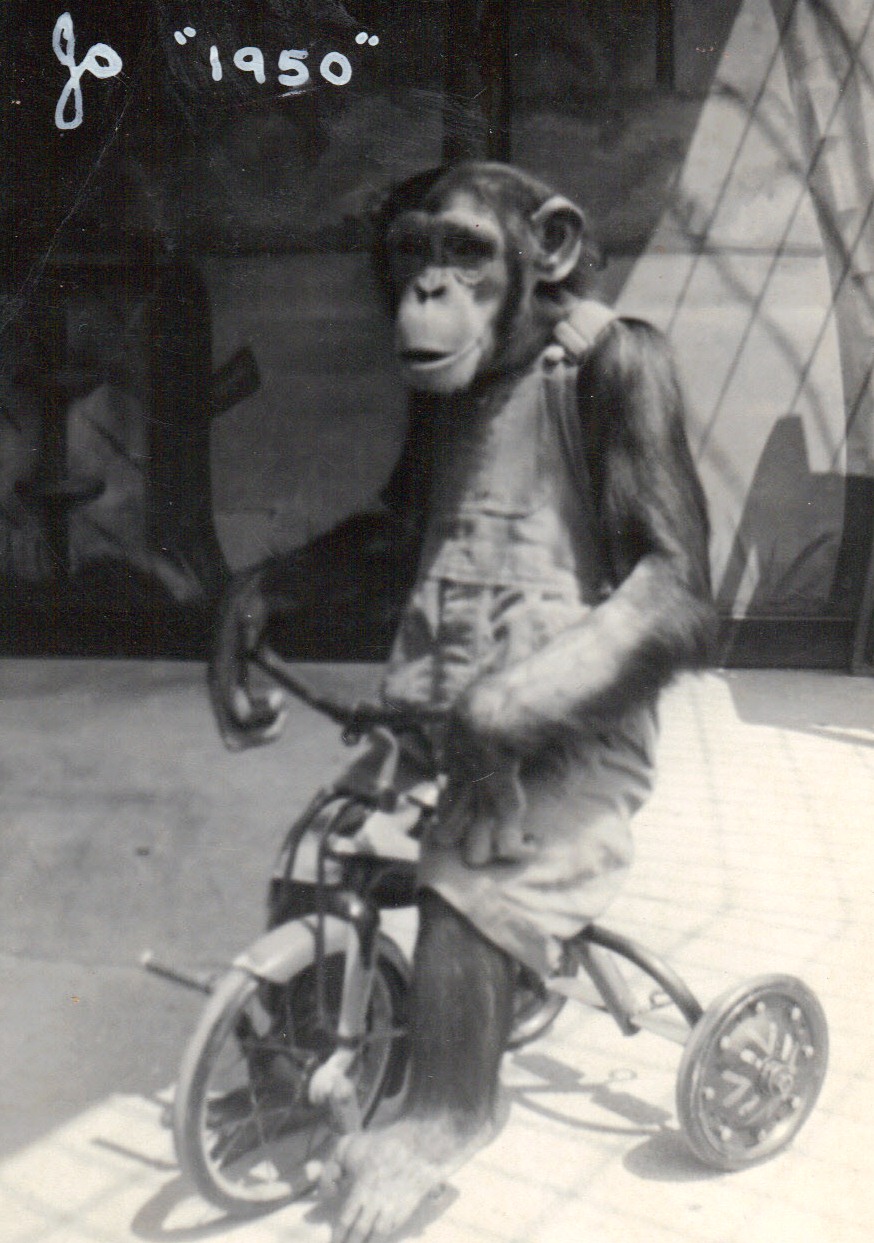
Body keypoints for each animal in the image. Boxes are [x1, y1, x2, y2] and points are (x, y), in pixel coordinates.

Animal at [209, 161, 716, 1243]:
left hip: (575, 807)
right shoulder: (422, 408)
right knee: (325, 875)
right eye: (413, 247)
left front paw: (480, 732)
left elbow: (668, 580)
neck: (515, 362)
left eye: (470, 249)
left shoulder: (636, 373)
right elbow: (399, 530)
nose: (432, 287)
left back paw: (430, 1133)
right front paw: (240, 621)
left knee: (476, 898)